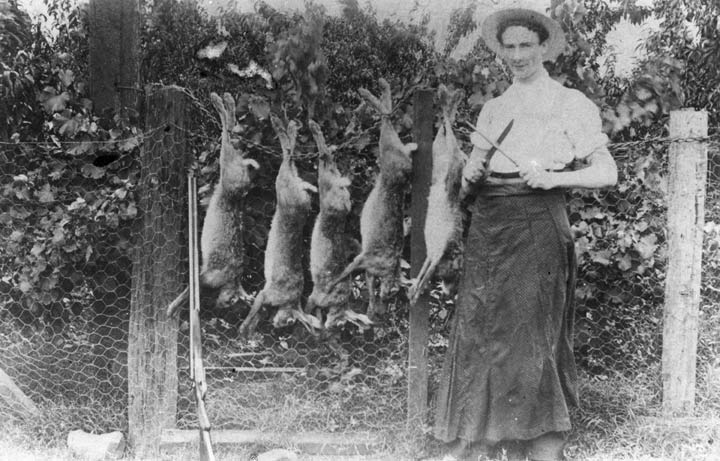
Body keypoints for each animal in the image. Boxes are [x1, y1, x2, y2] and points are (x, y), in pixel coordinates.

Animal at [166, 92, 258, 318]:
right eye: (233, 302)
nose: (222, 306)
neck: (233, 281)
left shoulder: (206, 274)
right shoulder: (208, 275)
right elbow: (190, 291)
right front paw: (172, 308)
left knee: (233, 136)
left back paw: (225, 100)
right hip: (231, 173)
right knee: (228, 137)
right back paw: (220, 101)